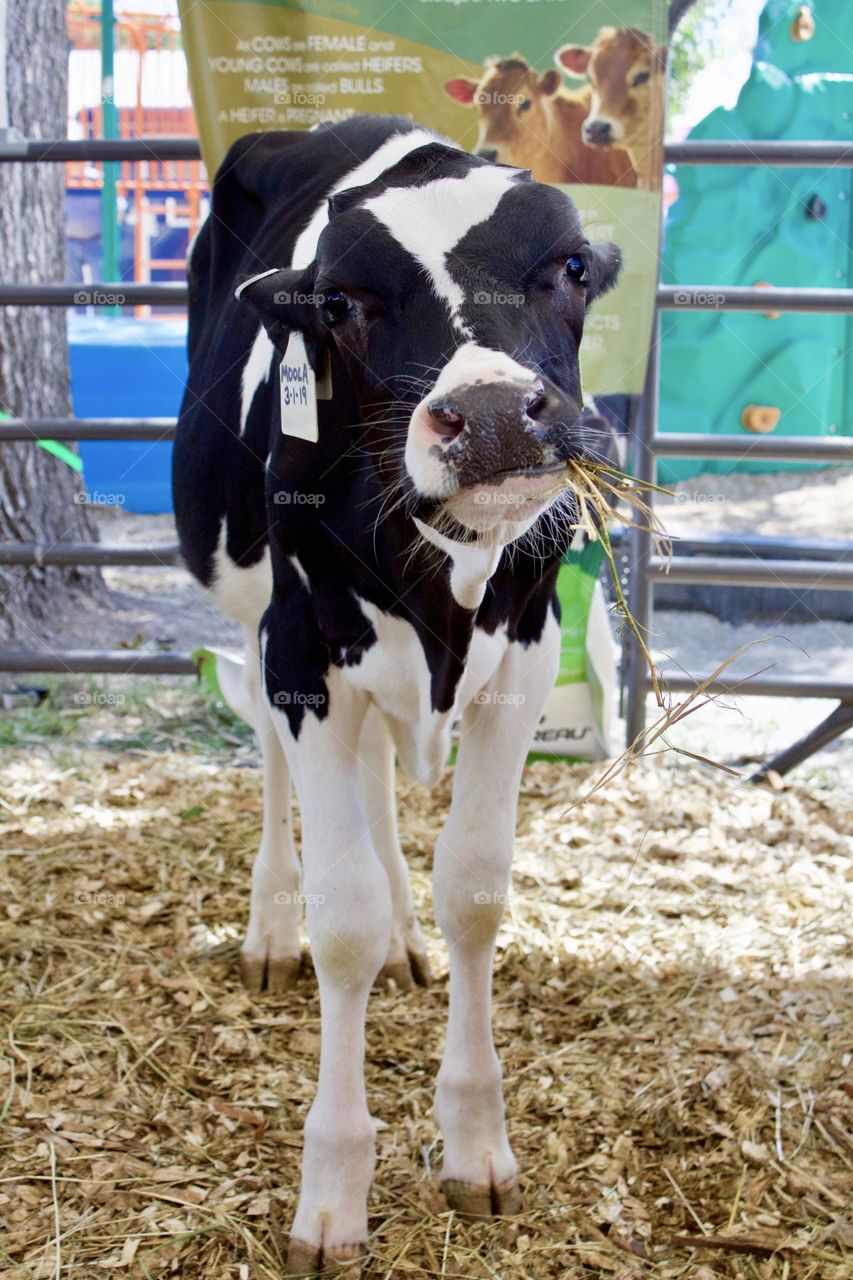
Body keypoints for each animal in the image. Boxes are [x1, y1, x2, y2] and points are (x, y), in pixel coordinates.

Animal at [174, 115, 617, 1274]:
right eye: (341, 303)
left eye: (566, 267)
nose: (498, 415)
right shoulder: (301, 651)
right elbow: (342, 920)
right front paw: (331, 1191)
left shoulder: (524, 656)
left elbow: (475, 888)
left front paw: (474, 1140)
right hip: (252, 601)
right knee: (277, 764)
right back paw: (270, 928)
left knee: (378, 781)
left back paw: (408, 941)